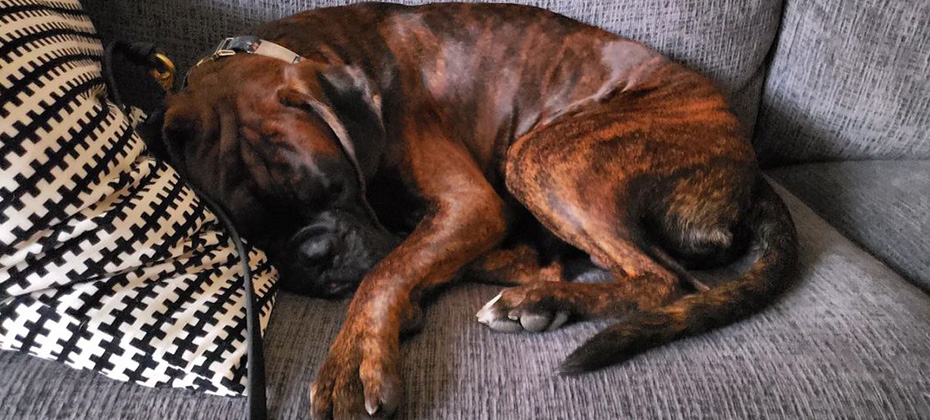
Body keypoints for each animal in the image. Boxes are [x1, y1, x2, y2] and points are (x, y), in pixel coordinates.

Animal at [161, 1, 796, 418]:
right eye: (255, 227)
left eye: (335, 186)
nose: (318, 252)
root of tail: (747, 162)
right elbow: (397, 262)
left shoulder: (469, 206)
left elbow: (383, 272)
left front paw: (354, 359)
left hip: (541, 154)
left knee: (664, 279)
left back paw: (537, 300)